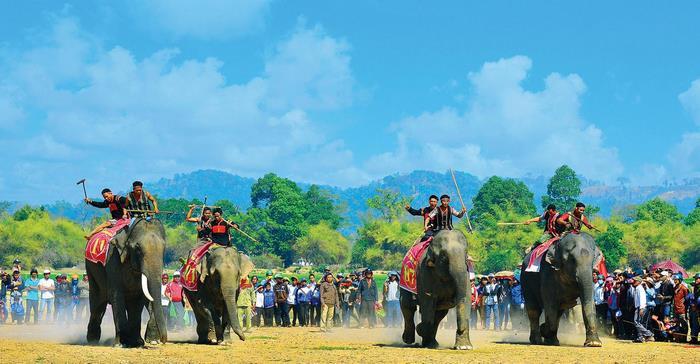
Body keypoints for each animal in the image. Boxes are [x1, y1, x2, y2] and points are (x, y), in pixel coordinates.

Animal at [84, 218, 166, 348]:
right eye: (137, 248)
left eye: (164, 248)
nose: (164, 340)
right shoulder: (112, 259)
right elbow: (116, 295)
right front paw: (121, 344)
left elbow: (139, 298)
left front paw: (137, 343)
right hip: (91, 271)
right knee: (98, 304)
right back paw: (92, 341)